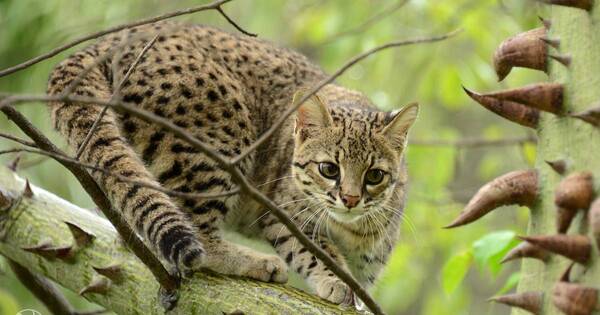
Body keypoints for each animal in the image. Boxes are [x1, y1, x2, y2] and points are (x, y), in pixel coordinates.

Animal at [47, 21, 418, 304]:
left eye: (375, 175)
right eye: (329, 169)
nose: (351, 199)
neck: (352, 230)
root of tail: (111, 40)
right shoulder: (282, 212)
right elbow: (315, 251)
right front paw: (336, 281)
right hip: (218, 143)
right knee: (197, 239)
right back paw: (256, 262)